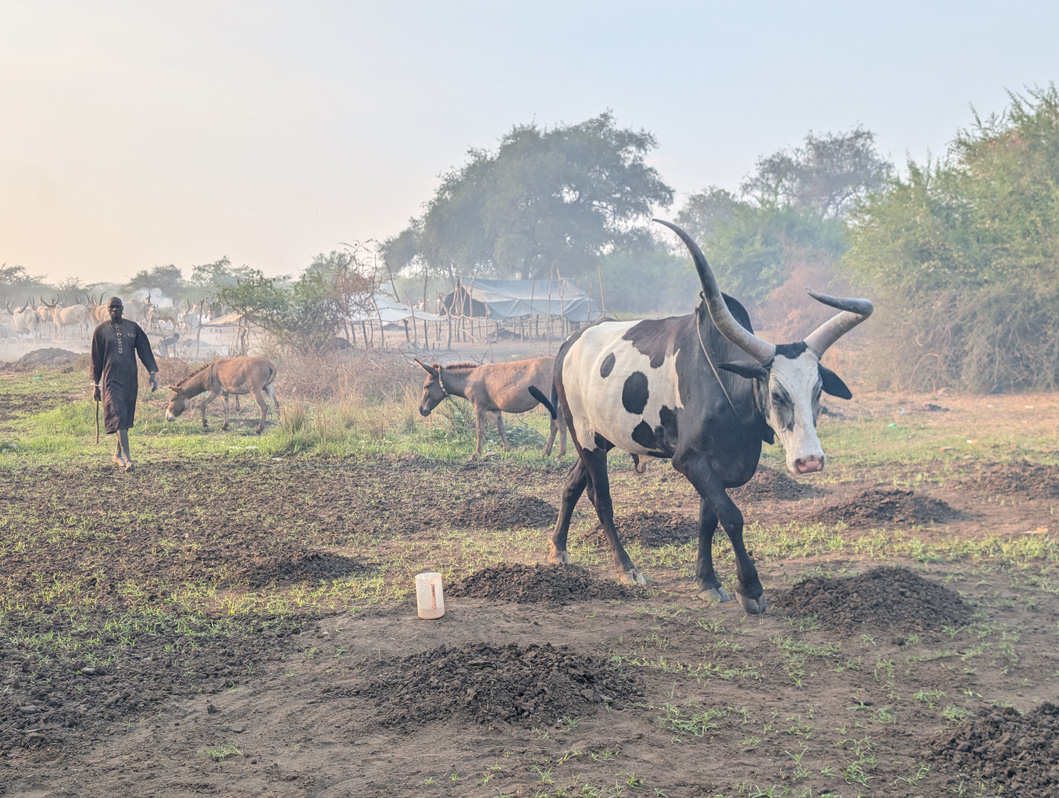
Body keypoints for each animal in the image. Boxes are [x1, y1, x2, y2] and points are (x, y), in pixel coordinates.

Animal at [537, 219, 872, 614]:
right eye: (777, 393)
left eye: (818, 390)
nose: (810, 461)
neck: (725, 384)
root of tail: (568, 344)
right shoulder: (690, 460)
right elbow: (731, 516)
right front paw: (750, 588)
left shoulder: (718, 465)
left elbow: (707, 520)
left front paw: (707, 581)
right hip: (585, 437)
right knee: (601, 499)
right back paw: (626, 568)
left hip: (599, 438)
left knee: (572, 485)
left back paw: (558, 549)